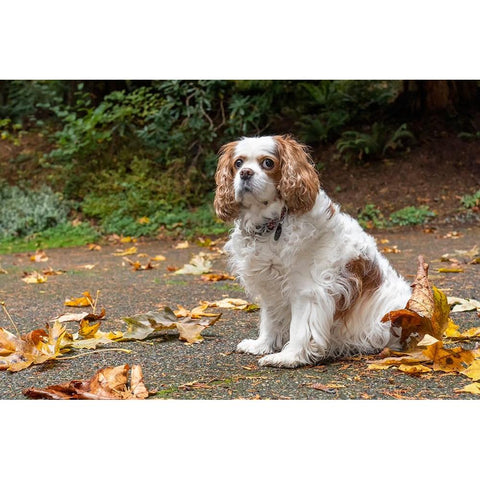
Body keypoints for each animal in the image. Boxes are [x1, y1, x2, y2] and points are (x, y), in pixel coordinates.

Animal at [216, 135, 410, 368]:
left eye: (268, 163)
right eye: (238, 163)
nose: (245, 173)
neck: (273, 224)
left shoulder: (307, 290)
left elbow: (300, 328)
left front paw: (289, 356)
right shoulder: (271, 287)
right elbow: (270, 320)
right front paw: (262, 345)